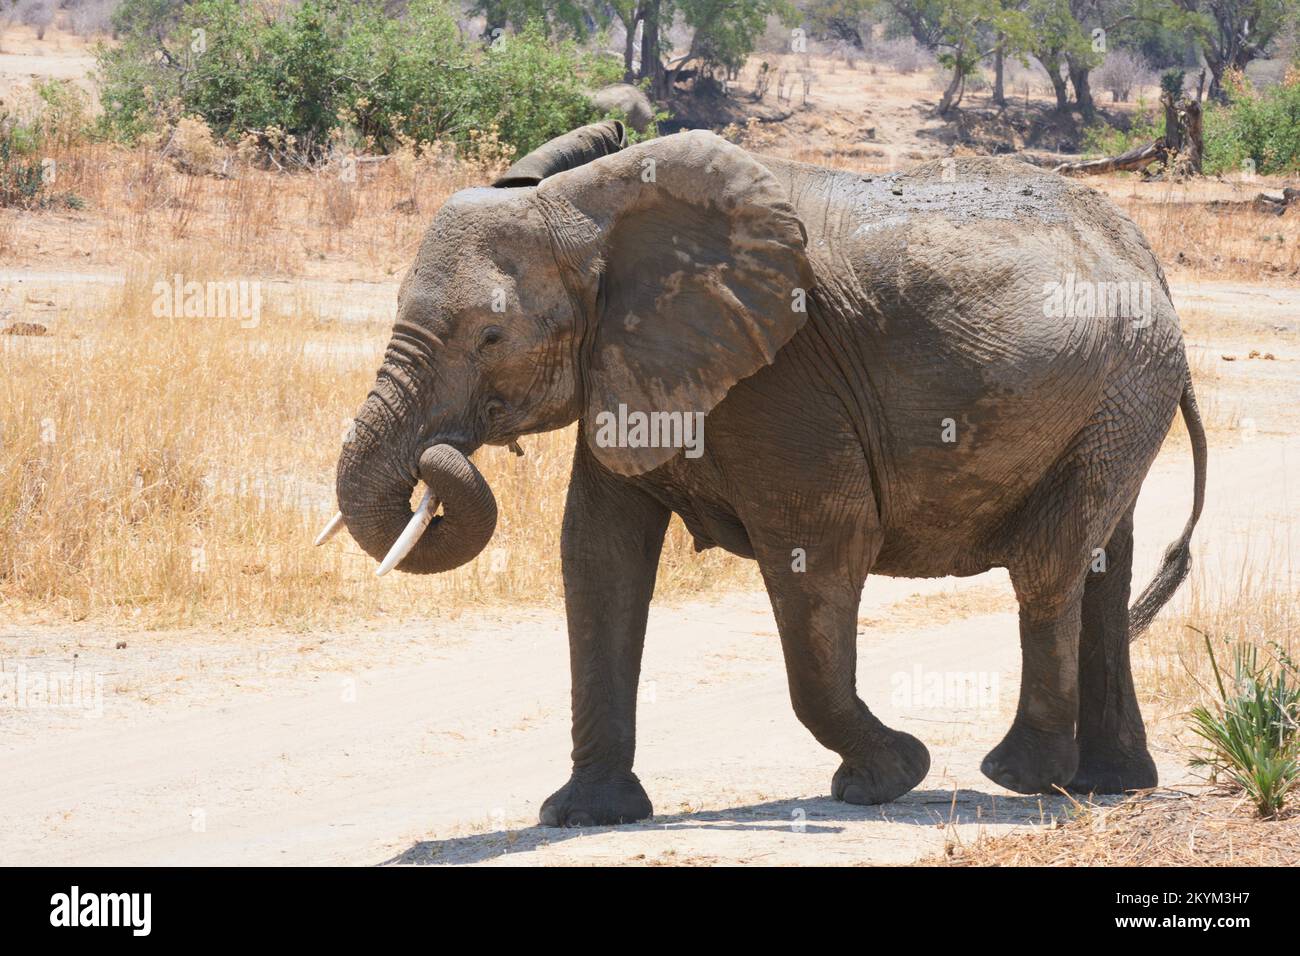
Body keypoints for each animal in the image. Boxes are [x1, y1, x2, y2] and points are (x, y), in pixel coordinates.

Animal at [317, 117, 1206, 822]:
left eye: (491, 337)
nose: (441, 457)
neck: (593, 208)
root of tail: (1152, 261)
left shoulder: (783, 378)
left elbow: (821, 549)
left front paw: (889, 778)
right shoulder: (633, 362)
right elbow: (599, 554)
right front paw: (583, 816)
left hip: (1121, 388)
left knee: (1049, 564)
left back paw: (1020, 777)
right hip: (1121, 402)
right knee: (1104, 566)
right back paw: (1110, 783)